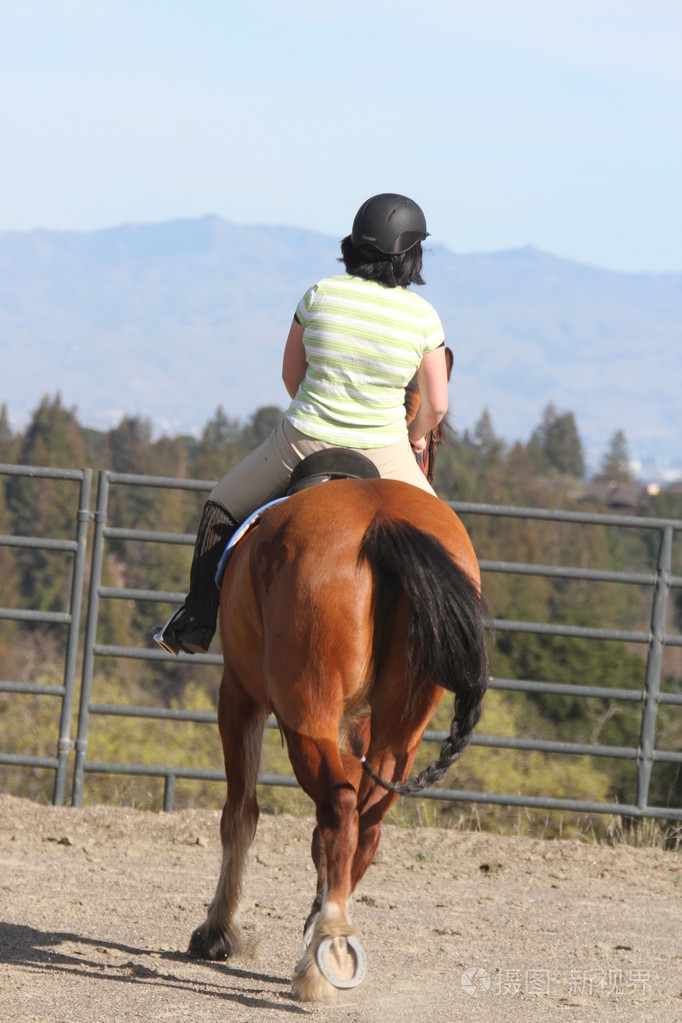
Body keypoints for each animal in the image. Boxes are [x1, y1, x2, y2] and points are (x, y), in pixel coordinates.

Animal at [187, 446, 488, 998]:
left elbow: (239, 814)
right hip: (398, 737)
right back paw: (330, 938)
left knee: (338, 810)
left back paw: (320, 956)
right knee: (364, 825)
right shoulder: (359, 730)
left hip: (306, 718)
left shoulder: (238, 695)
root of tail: (380, 521)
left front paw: (217, 932)